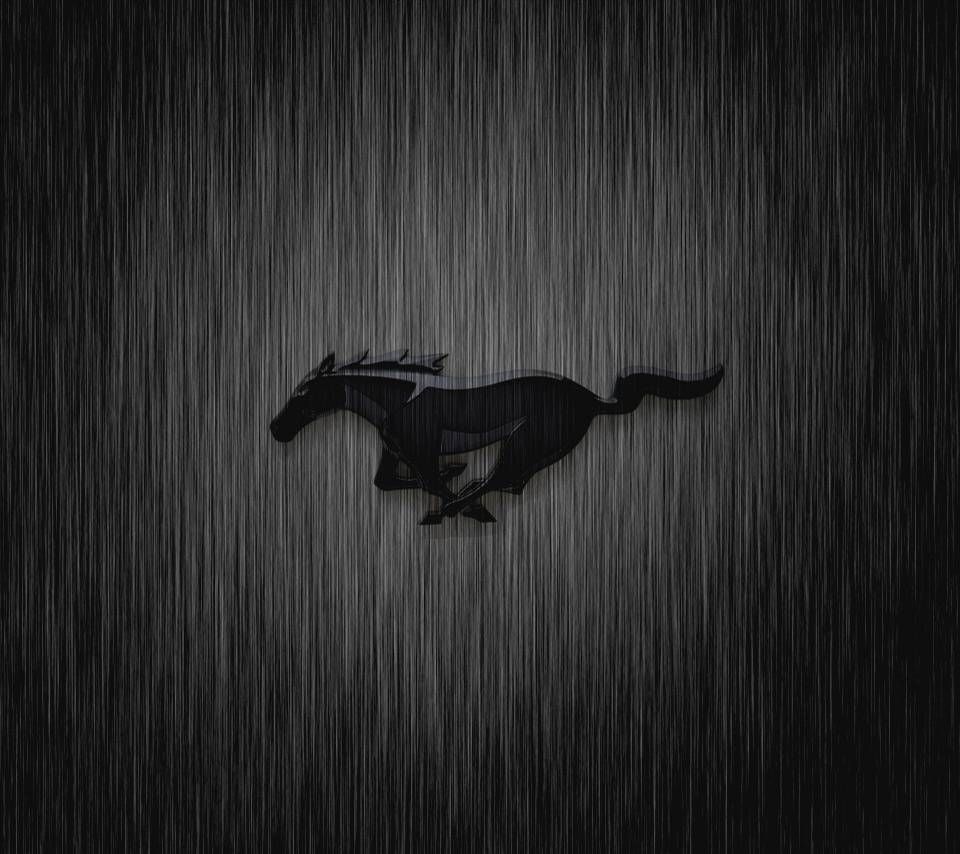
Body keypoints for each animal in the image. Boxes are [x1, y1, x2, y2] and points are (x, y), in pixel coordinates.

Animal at [270, 350, 723, 524]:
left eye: (302, 394)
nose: (275, 430)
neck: (395, 399)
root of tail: (592, 399)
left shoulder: (421, 452)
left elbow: (432, 482)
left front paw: (455, 493)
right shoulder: (395, 451)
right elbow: (388, 482)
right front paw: (454, 476)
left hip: (527, 439)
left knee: (503, 476)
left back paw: (460, 507)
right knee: (512, 481)